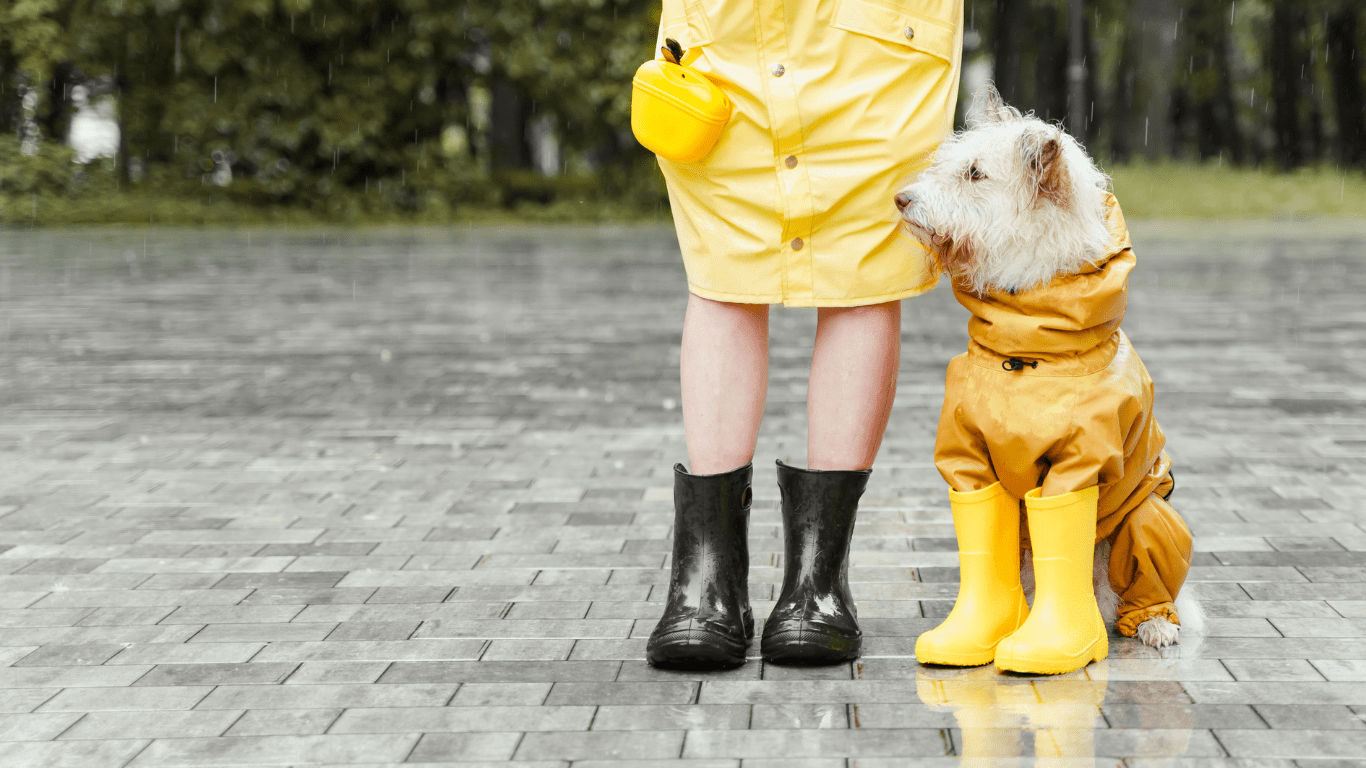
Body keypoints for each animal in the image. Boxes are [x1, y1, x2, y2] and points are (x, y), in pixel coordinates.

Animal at [901, 83, 1202, 645]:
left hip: (1148, 515)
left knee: (1143, 581)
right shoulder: (967, 456)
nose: (901, 200)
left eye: (975, 174)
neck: (1029, 349)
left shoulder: (1081, 462)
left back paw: (1149, 621)